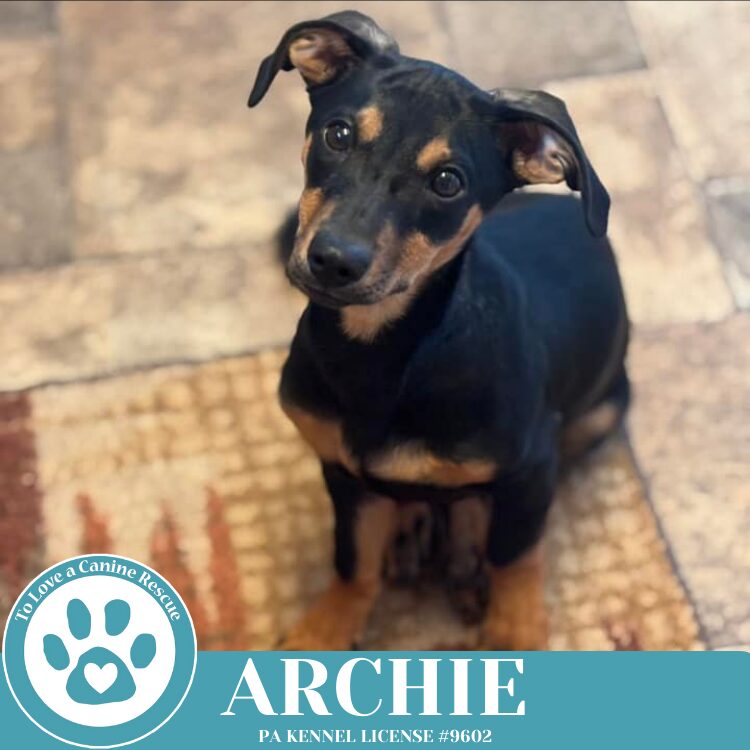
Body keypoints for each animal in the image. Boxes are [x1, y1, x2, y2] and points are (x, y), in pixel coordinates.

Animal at [249, 11, 629, 650]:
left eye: (448, 182)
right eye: (338, 135)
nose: (333, 261)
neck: (384, 355)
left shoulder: (533, 465)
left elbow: (517, 557)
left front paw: (514, 631)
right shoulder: (340, 471)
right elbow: (353, 562)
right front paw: (323, 633)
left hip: (599, 413)